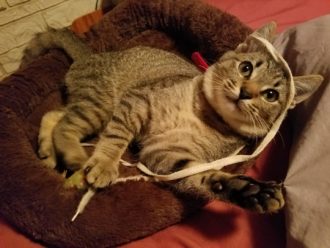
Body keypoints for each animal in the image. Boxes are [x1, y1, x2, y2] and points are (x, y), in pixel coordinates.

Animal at [22, 22, 322, 213]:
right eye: (246, 67)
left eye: (271, 94)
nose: (245, 92)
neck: (204, 116)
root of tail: (91, 55)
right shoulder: (137, 101)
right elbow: (116, 138)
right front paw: (105, 164)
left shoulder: (167, 156)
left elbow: (205, 176)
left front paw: (250, 191)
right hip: (101, 105)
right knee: (65, 123)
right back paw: (73, 155)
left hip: (93, 107)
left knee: (55, 115)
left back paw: (49, 152)